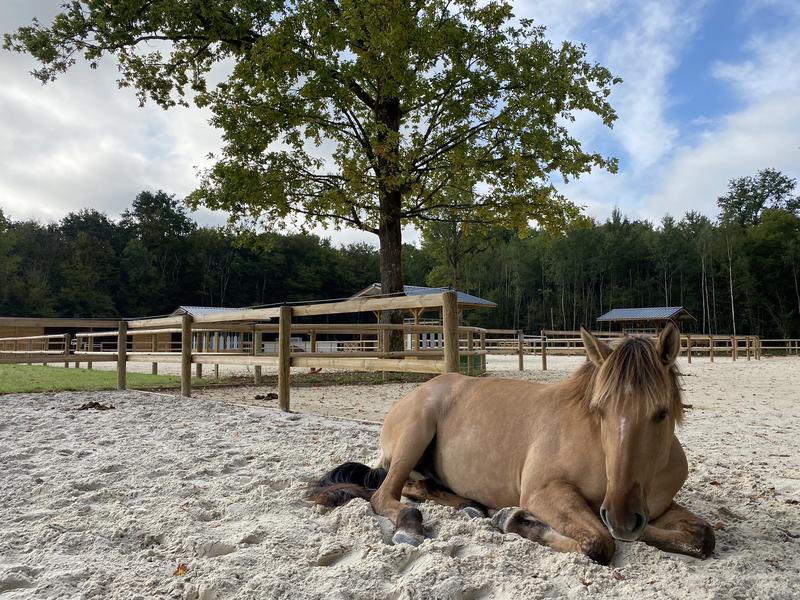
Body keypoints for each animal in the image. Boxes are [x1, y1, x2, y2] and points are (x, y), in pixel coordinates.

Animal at [310, 324, 716, 564]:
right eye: (600, 410)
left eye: (660, 413)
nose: (621, 515)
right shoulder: (544, 492)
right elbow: (599, 542)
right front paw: (517, 520)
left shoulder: (655, 507)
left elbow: (701, 536)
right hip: (415, 433)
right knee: (385, 495)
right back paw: (412, 527)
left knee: (415, 486)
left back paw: (470, 506)